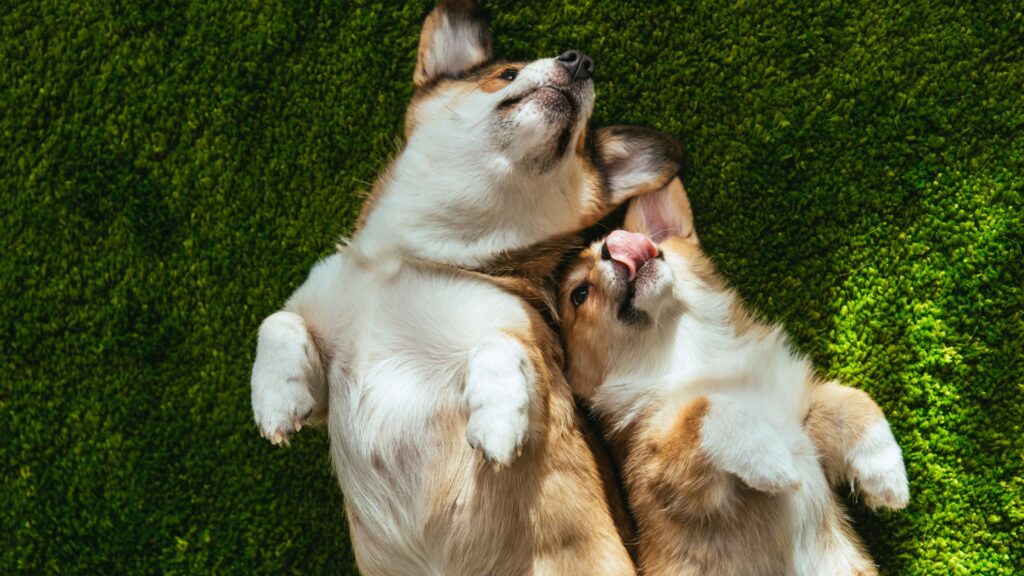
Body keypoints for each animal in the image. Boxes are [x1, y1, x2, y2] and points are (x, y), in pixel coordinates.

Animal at [248, 2, 684, 569]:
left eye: (580, 139)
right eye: (507, 74)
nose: (581, 60)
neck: (419, 256)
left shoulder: (536, 348)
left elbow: (499, 345)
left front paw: (497, 422)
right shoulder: (326, 389)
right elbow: (278, 319)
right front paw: (275, 398)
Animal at [561, 177, 913, 569]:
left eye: (630, 236)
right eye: (579, 294)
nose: (613, 245)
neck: (686, 354)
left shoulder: (800, 411)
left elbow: (853, 401)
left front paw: (886, 470)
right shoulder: (665, 473)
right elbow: (707, 410)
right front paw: (771, 459)